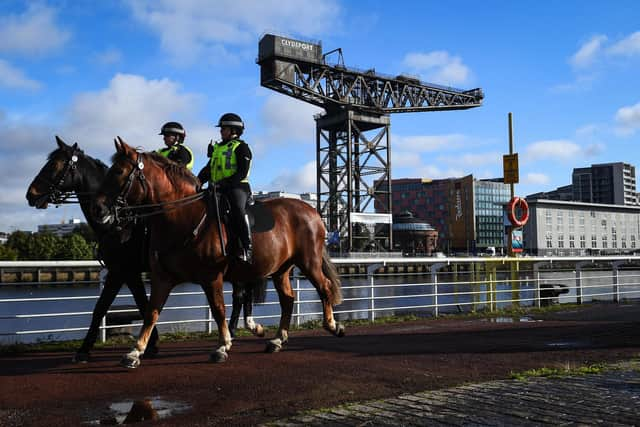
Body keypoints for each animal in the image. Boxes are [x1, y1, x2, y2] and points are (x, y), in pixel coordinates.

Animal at [25, 137, 264, 364]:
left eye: (54, 165)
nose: (30, 194)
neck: (119, 224)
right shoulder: (127, 273)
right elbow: (128, 306)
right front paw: (146, 345)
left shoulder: (123, 271)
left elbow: (112, 306)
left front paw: (90, 350)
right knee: (242, 293)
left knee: (240, 294)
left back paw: (236, 331)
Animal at [93, 139, 344, 370]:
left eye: (118, 171)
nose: (98, 207)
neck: (183, 217)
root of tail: (314, 211)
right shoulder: (162, 278)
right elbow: (151, 312)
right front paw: (135, 352)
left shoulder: (212, 277)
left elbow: (218, 309)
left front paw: (222, 346)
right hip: (281, 270)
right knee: (288, 299)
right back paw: (277, 340)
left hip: (309, 262)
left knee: (324, 287)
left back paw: (333, 326)